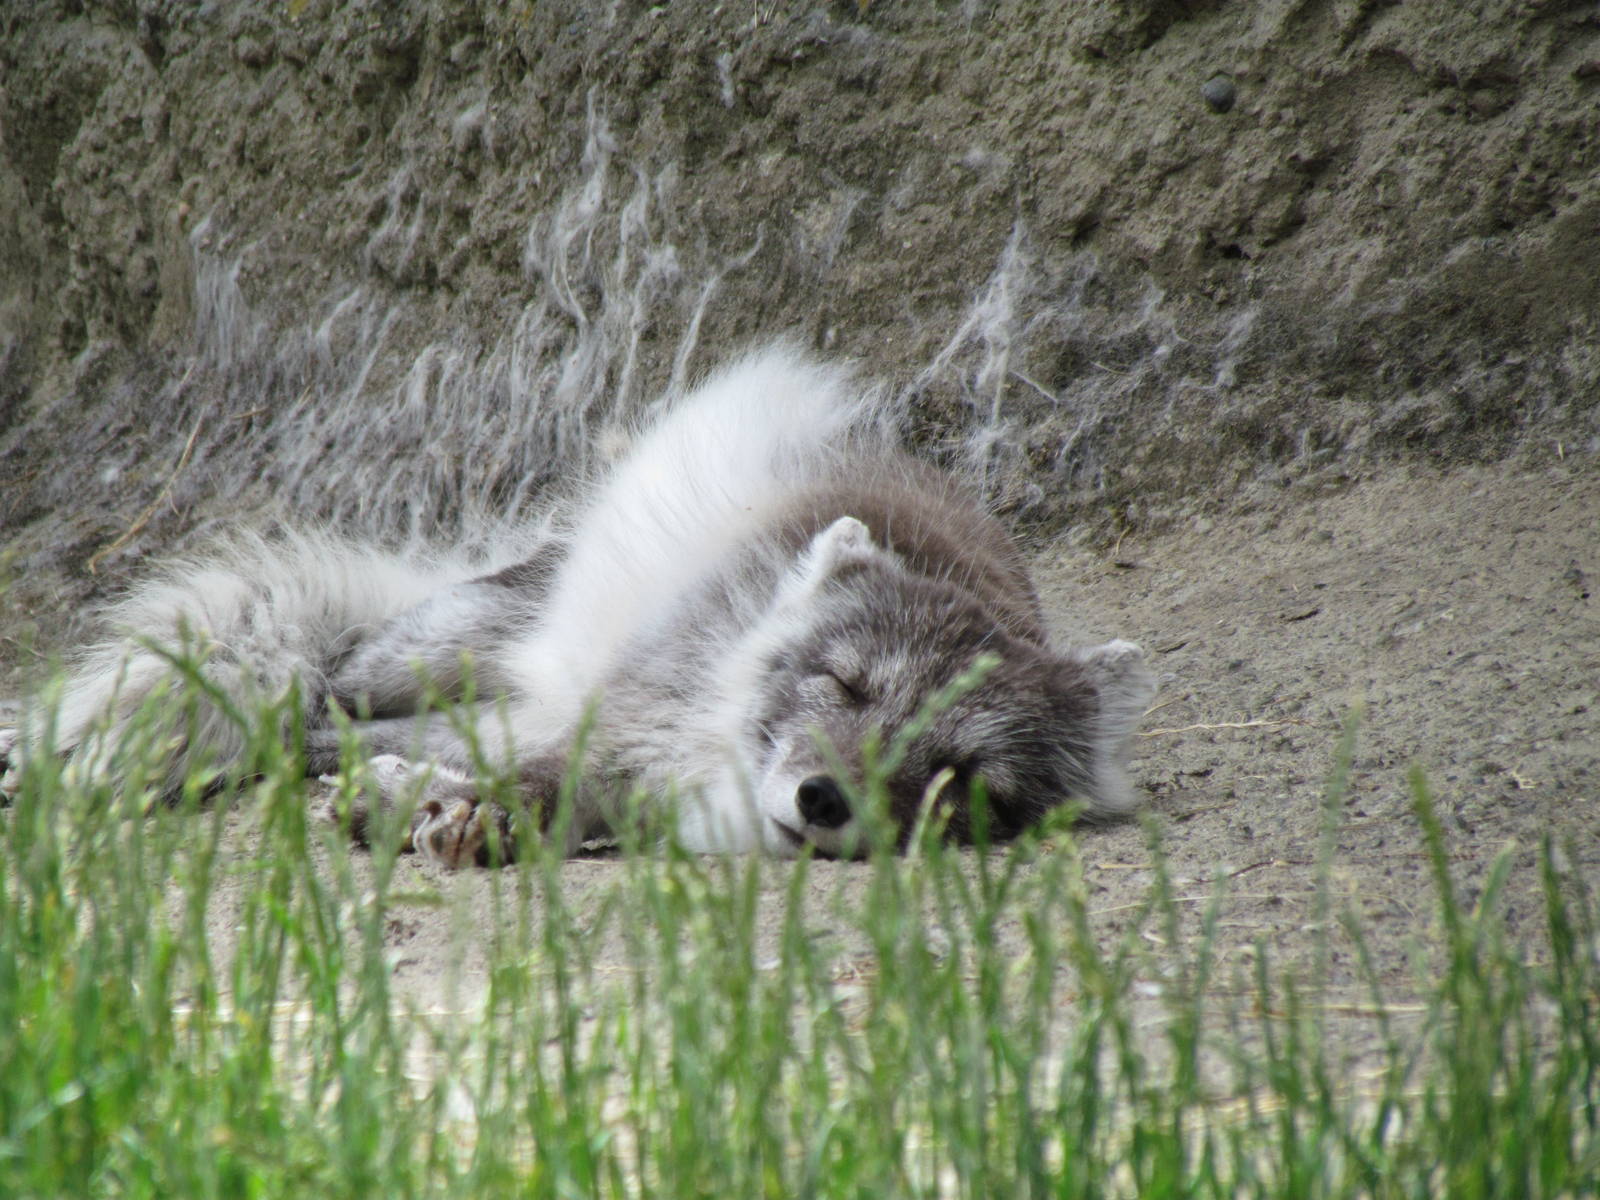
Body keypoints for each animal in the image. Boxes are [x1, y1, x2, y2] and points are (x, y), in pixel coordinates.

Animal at [0, 344, 1156, 865]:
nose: (823, 801)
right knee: (314, 693)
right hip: (437, 650)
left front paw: (443, 815)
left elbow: (539, 796)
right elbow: (539, 777)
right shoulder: (631, 722)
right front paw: (458, 812)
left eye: (959, 777)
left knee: (332, 737)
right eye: (844, 684)